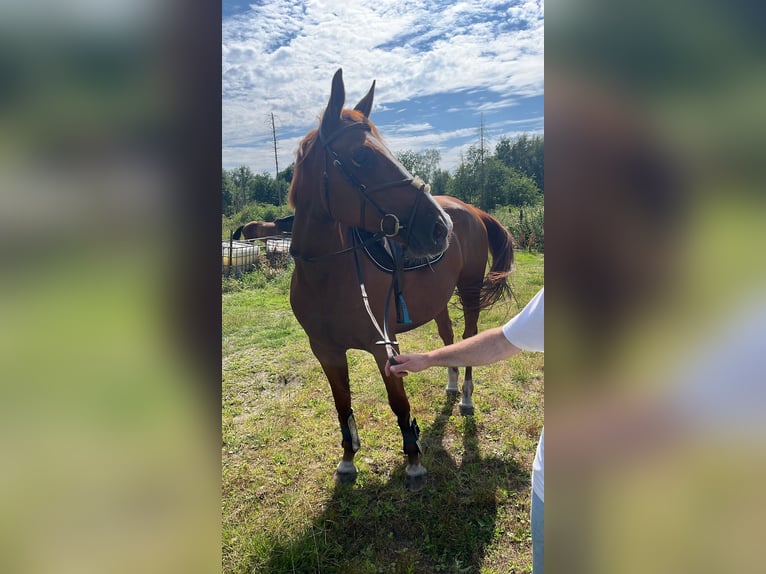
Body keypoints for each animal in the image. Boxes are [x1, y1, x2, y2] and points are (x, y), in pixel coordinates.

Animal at [284, 70, 512, 492]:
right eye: (361, 156)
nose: (441, 227)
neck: (327, 275)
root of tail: (469, 209)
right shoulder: (325, 350)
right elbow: (342, 405)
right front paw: (348, 460)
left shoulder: (383, 347)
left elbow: (399, 404)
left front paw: (414, 462)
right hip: (440, 300)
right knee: (449, 338)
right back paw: (451, 385)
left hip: (469, 290)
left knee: (470, 337)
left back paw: (466, 397)